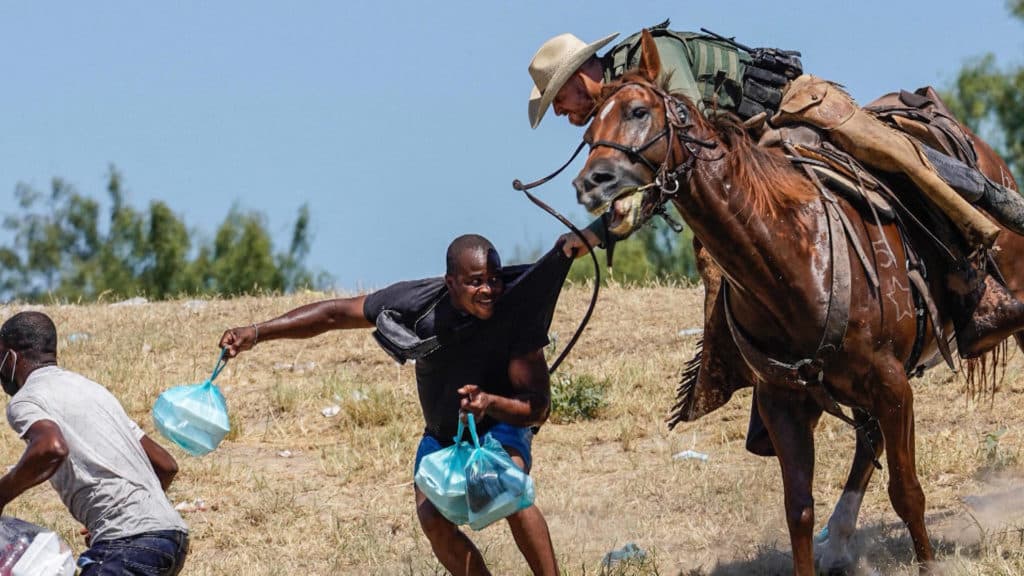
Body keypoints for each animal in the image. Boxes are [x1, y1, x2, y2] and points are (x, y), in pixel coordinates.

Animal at [573, 32, 1024, 573]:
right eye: (589, 129)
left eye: (639, 111)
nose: (591, 182)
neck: (792, 256)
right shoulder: (783, 401)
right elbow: (799, 510)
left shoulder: (893, 384)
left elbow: (907, 492)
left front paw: (929, 563)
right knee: (865, 443)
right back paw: (841, 537)